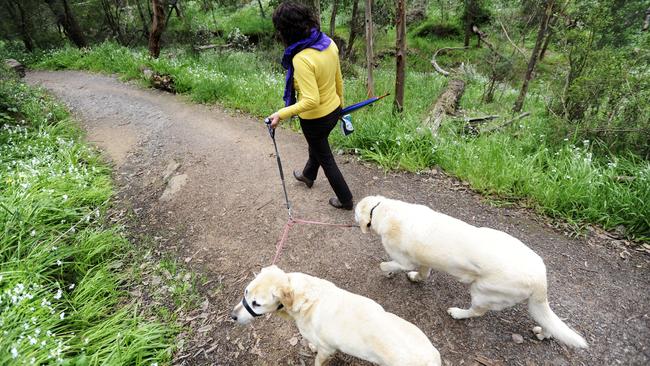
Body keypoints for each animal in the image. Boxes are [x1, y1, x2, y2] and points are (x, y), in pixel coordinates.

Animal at [229, 266, 440, 366]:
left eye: (257, 304)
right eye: (245, 292)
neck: (303, 297)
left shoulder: (327, 350)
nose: (232, 316)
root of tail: (434, 358)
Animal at [354, 194, 588, 348]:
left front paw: (387, 271)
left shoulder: (404, 261)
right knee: (547, 321)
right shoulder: (423, 260)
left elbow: (388, 265)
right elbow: (423, 272)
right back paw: (542, 334)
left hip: (482, 292)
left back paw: (458, 313)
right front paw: (416, 278)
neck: (384, 210)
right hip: (535, 304)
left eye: (356, 212)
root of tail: (540, 277)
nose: (351, 214)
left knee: (477, 312)